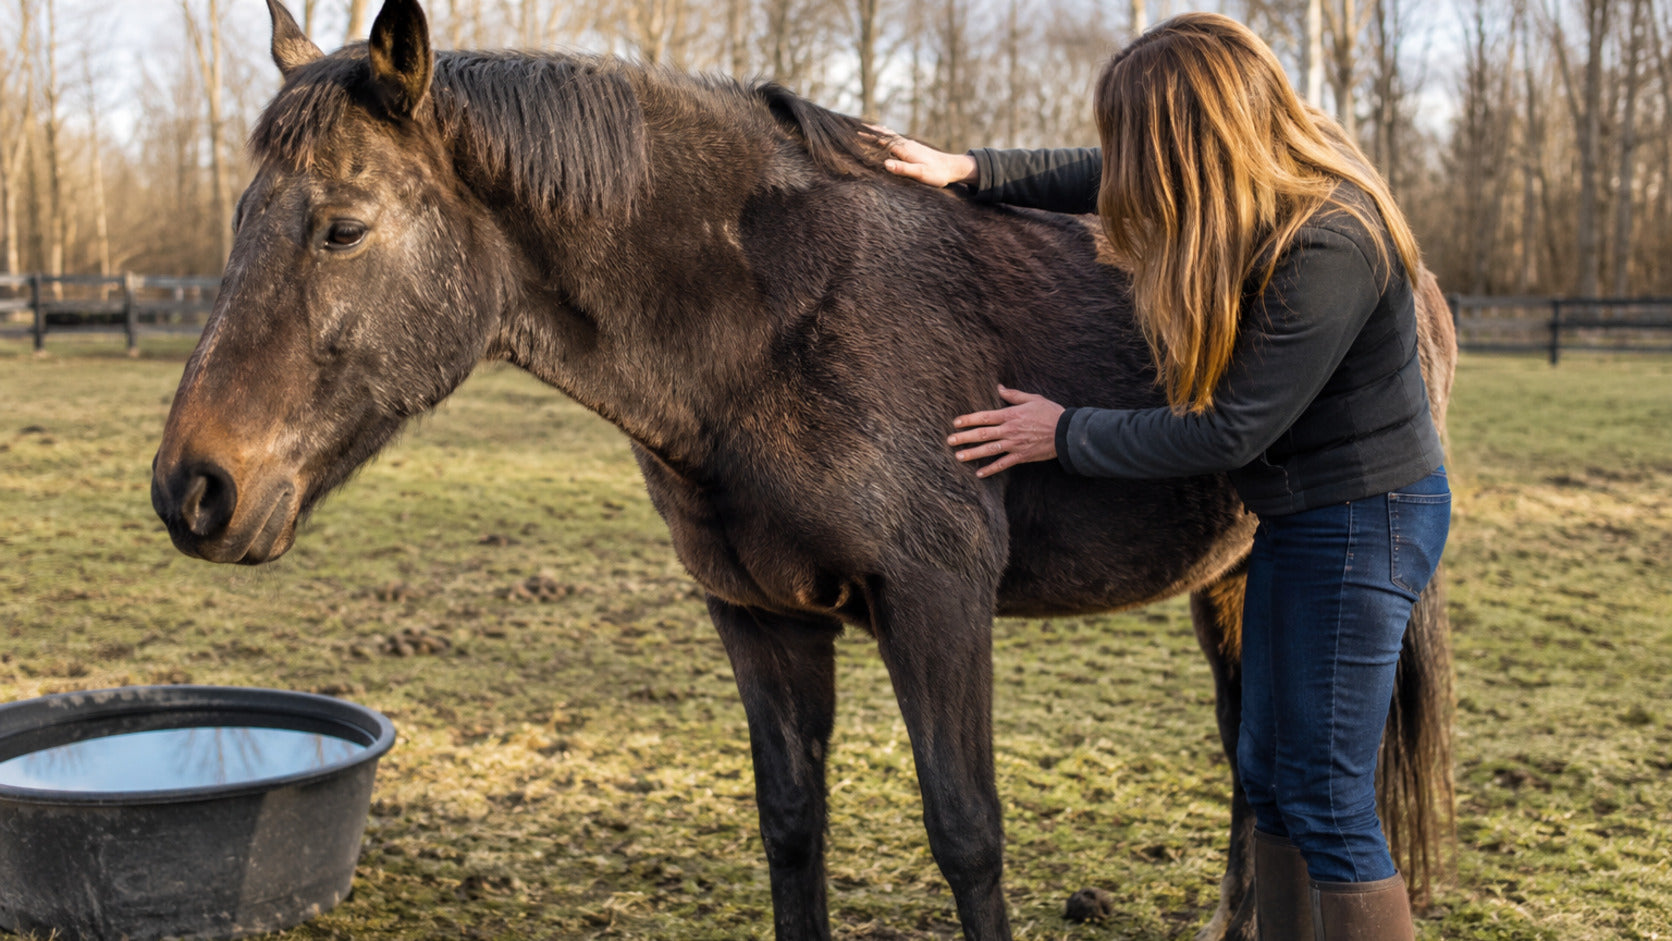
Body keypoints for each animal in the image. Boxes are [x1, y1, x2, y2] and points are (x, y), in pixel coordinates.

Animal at [150, 2, 1456, 938]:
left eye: (343, 226)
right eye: (238, 219)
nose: (193, 487)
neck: (774, 323)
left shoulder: (936, 605)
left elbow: (967, 830)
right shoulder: (759, 616)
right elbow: (790, 824)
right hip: (1234, 579)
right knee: (1256, 765)